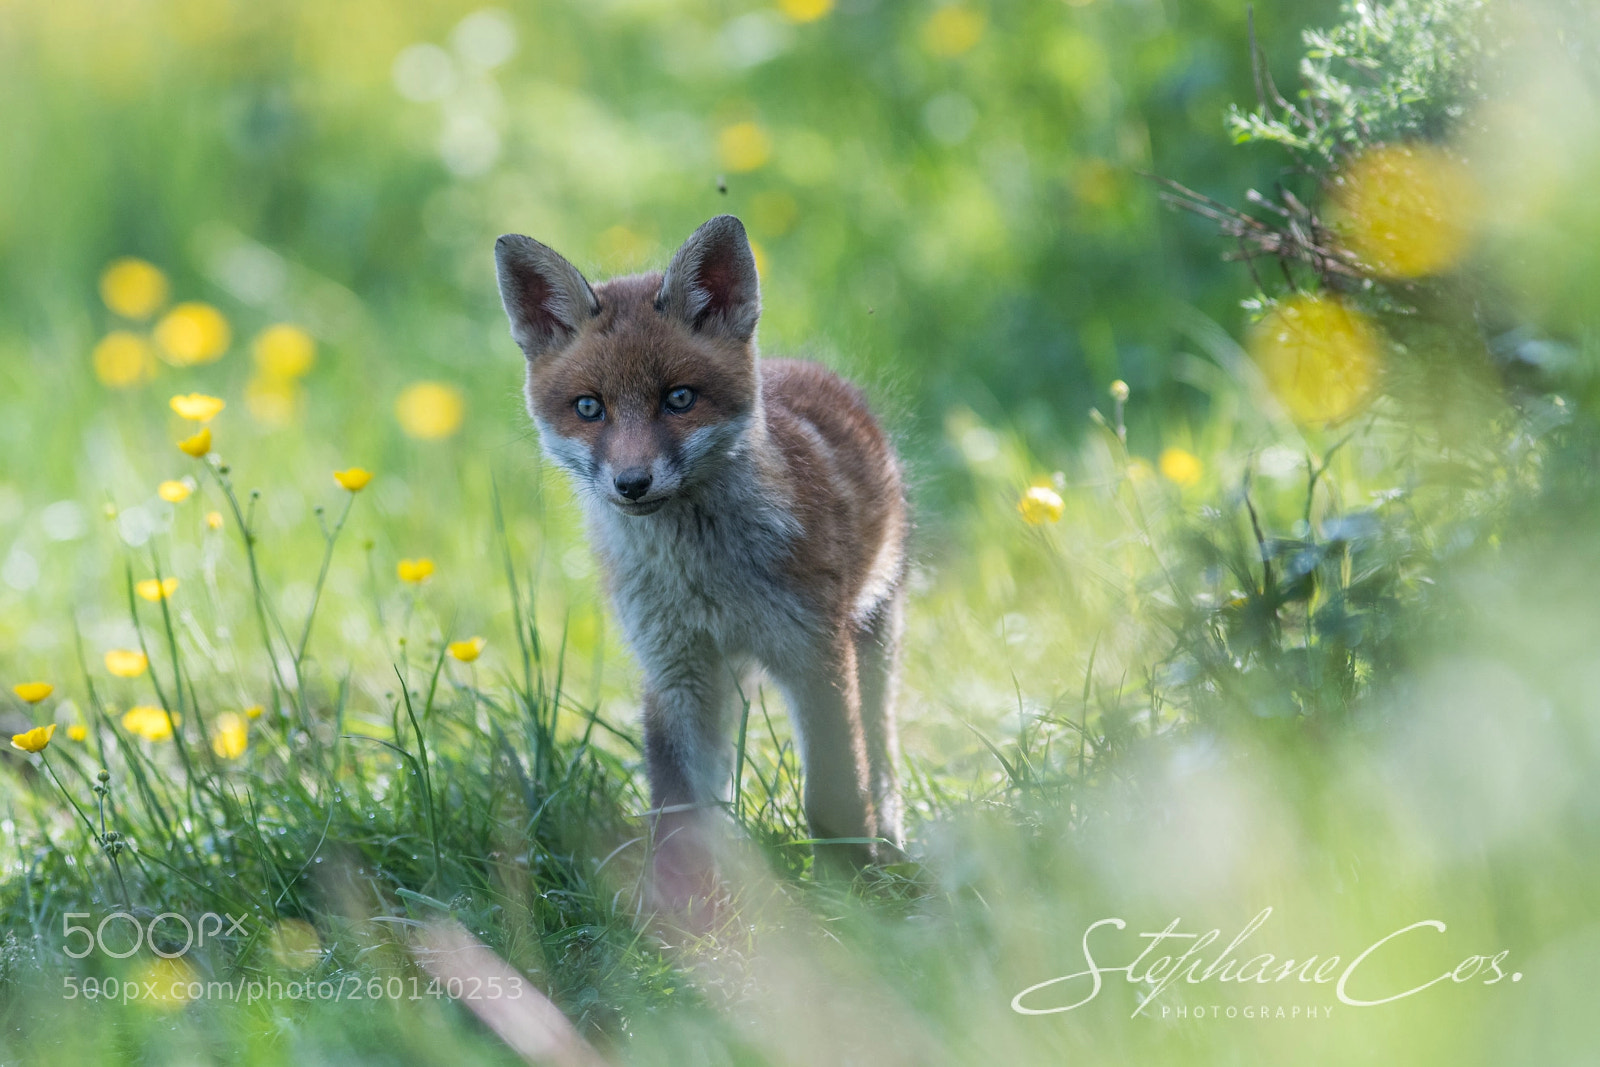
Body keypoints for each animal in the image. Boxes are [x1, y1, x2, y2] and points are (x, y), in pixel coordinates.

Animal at [493, 215, 907, 903]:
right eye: (589, 407)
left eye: (679, 399)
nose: (632, 484)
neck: (703, 580)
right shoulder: (674, 666)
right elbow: (679, 812)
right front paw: (683, 915)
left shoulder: (814, 653)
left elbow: (835, 794)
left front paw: (853, 896)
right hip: (719, 680)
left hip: (873, 636)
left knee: (881, 757)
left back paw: (895, 848)